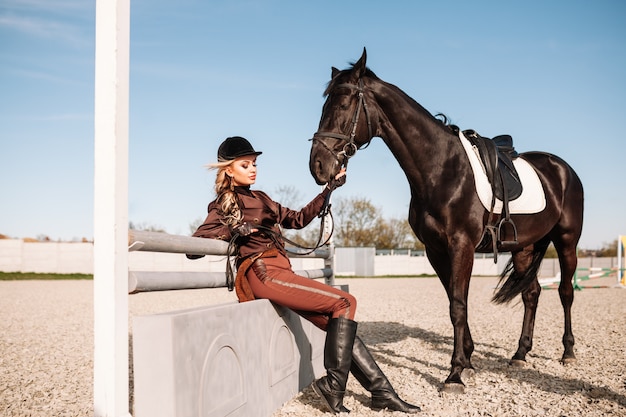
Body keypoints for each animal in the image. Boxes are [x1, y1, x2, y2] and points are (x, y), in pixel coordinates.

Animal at [310, 49, 584, 394]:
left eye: (344, 104)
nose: (318, 166)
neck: (441, 169)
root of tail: (563, 169)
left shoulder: (461, 246)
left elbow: (457, 305)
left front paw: (455, 373)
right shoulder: (435, 250)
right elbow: (454, 302)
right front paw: (467, 361)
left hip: (567, 240)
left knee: (565, 291)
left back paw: (568, 351)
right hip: (525, 246)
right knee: (531, 293)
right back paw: (520, 354)